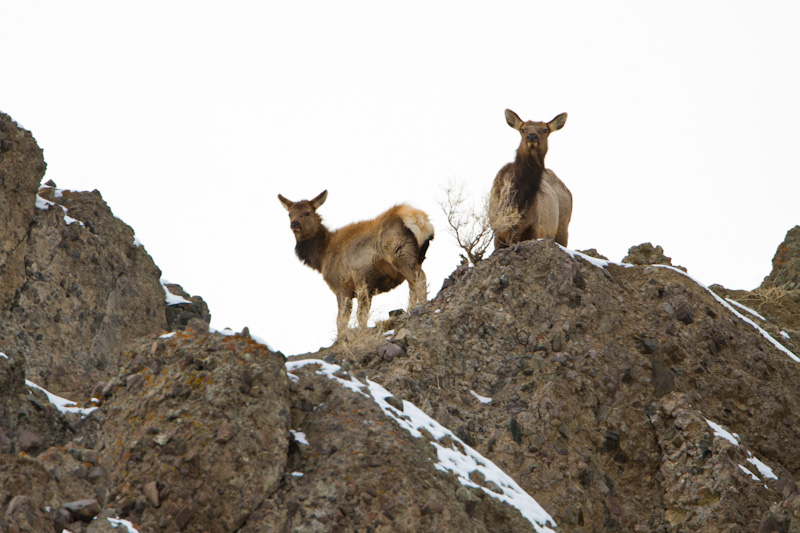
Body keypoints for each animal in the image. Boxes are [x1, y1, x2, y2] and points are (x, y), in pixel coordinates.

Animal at [278, 189, 434, 334]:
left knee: (420, 279)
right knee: (413, 286)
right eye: (289, 214)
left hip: (399, 254)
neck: (321, 258)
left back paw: (421, 306)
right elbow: (360, 315)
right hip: (416, 258)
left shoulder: (345, 285)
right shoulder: (364, 285)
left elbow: (344, 319)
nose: (294, 224)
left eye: (308, 212)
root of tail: (419, 219)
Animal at [484, 109, 572, 249]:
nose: (531, 136)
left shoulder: (534, 228)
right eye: (522, 129)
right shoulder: (497, 231)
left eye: (545, 130)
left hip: (563, 228)